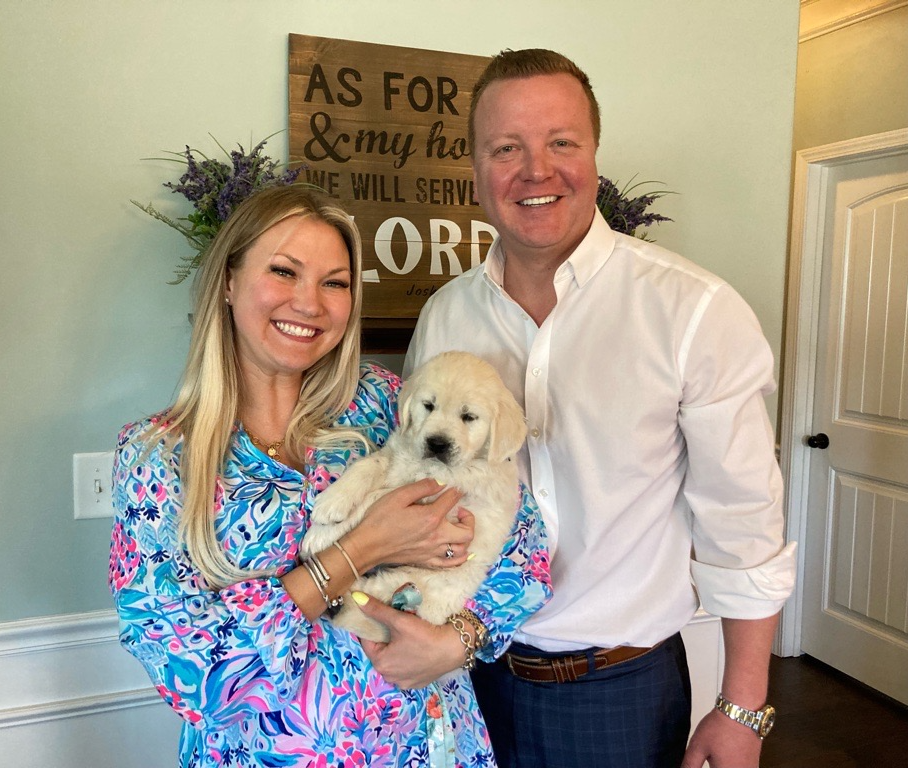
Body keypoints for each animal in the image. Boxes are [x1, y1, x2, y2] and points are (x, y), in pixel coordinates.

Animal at [300, 352, 524, 640]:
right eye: (429, 405)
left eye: (469, 417)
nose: (437, 443)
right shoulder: (395, 456)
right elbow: (367, 466)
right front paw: (333, 501)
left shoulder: (434, 491)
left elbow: (375, 498)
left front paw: (318, 535)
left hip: (419, 584)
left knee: (372, 595)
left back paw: (345, 601)